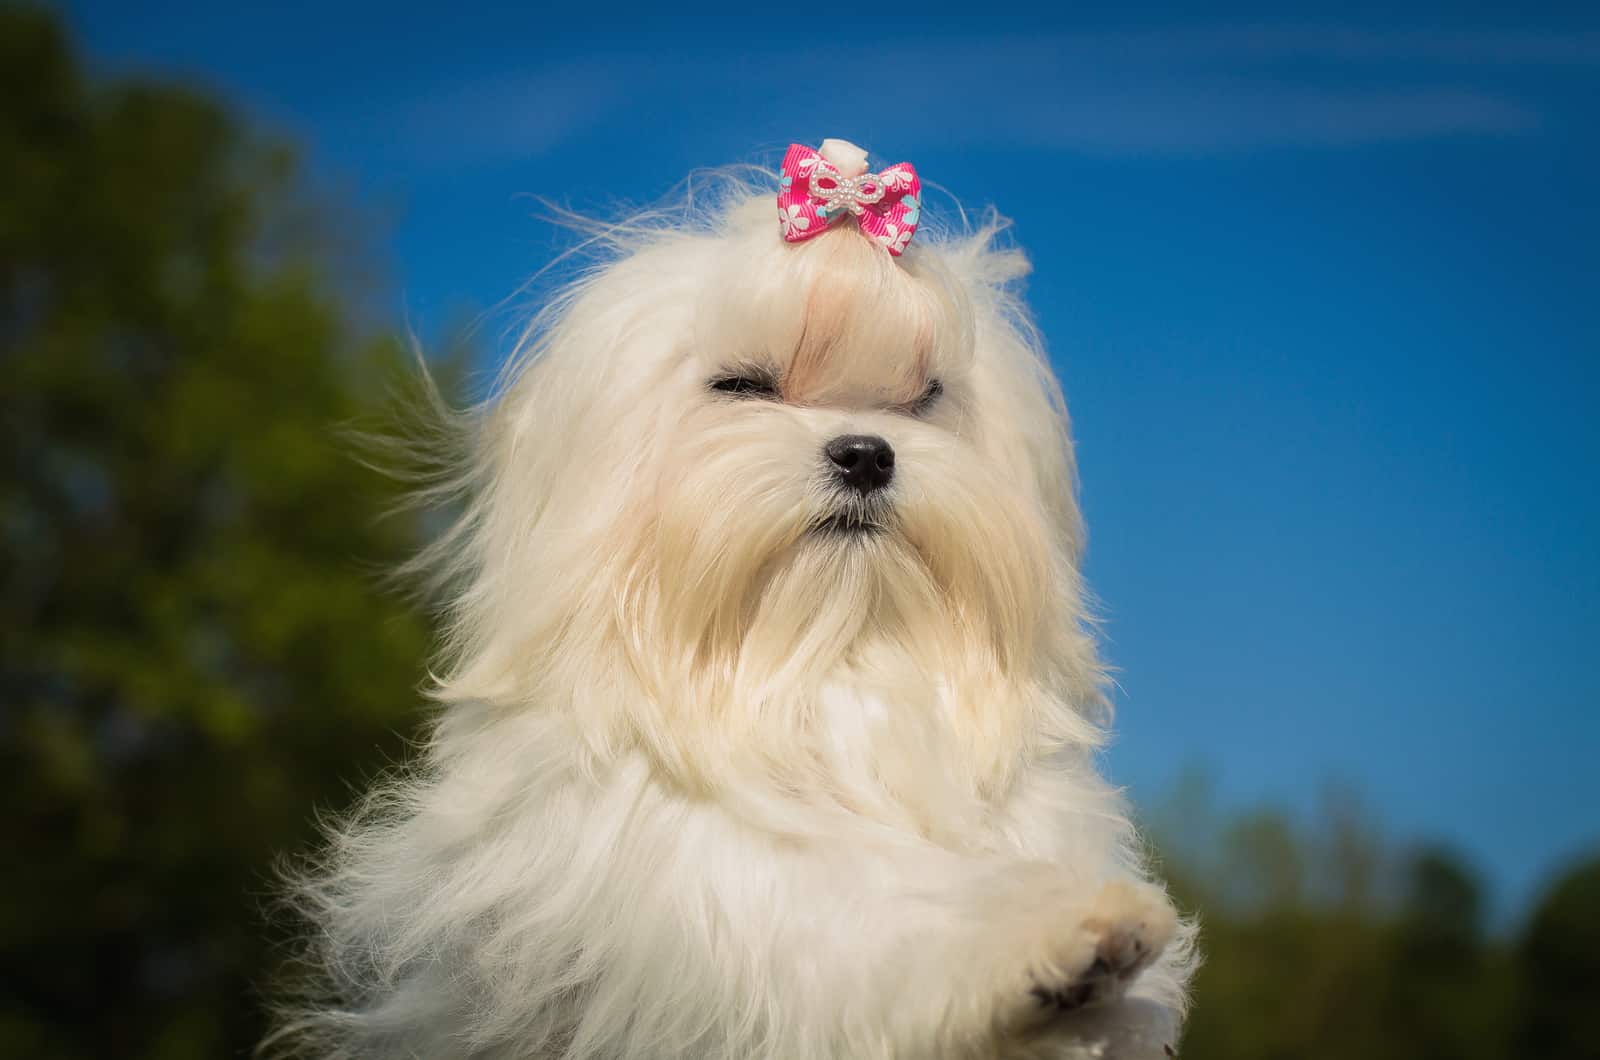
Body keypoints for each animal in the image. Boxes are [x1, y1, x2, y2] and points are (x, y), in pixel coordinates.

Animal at [268, 140, 1196, 1060]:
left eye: (923, 398)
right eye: (744, 386)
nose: (867, 454)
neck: (818, 674)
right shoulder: (699, 883)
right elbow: (868, 920)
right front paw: (1048, 936)